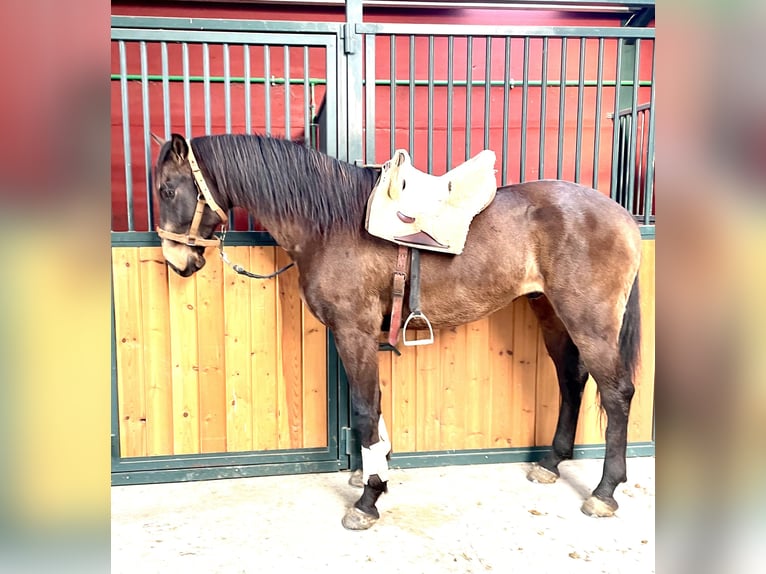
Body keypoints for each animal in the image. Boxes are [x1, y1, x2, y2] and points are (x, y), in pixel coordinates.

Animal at [153, 134, 644, 532]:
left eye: (167, 189)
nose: (177, 261)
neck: (331, 225)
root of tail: (622, 216)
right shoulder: (361, 334)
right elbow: (375, 405)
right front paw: (377, 471)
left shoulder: (353, 331)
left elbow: (364, 409)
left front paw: (368, 498)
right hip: (552, 316)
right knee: (572, 382)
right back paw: (552, 463)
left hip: (589, 322)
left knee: (616, 393)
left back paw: (604, 492)